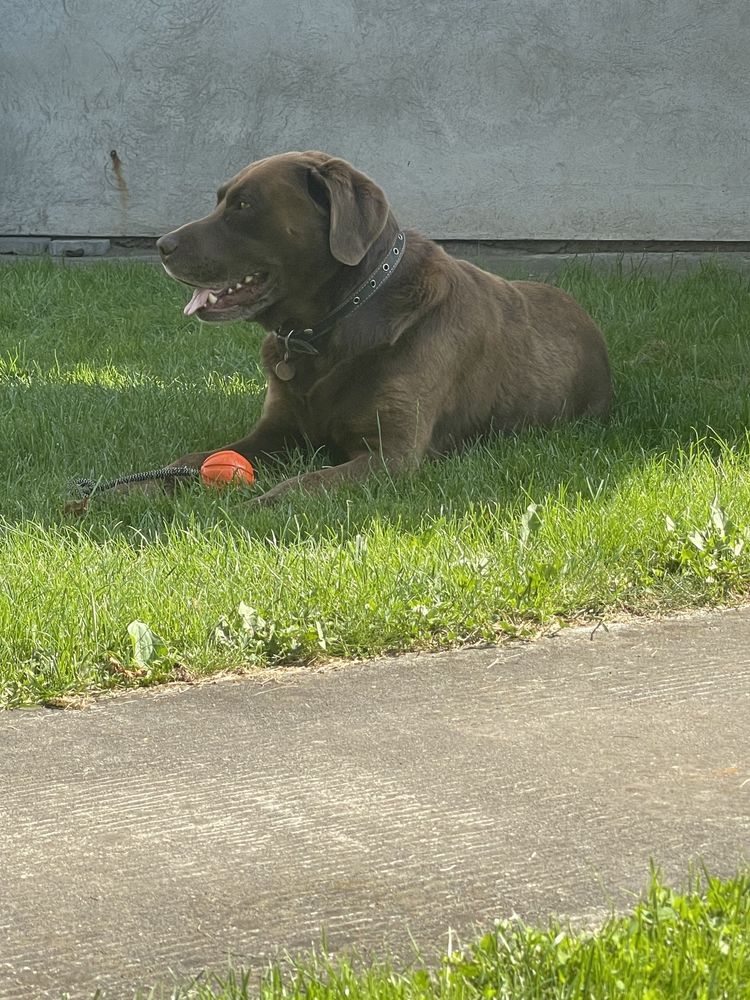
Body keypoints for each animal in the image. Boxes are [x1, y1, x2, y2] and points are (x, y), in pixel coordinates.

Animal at [157, 151, 612, 504]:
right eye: (220, 200)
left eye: (245, 206)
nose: (162, 244)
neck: (331, 327)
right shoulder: (278, 429)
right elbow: (190, 461)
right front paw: (145, 485)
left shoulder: (391, 457)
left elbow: (305, 484)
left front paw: (253, 506)